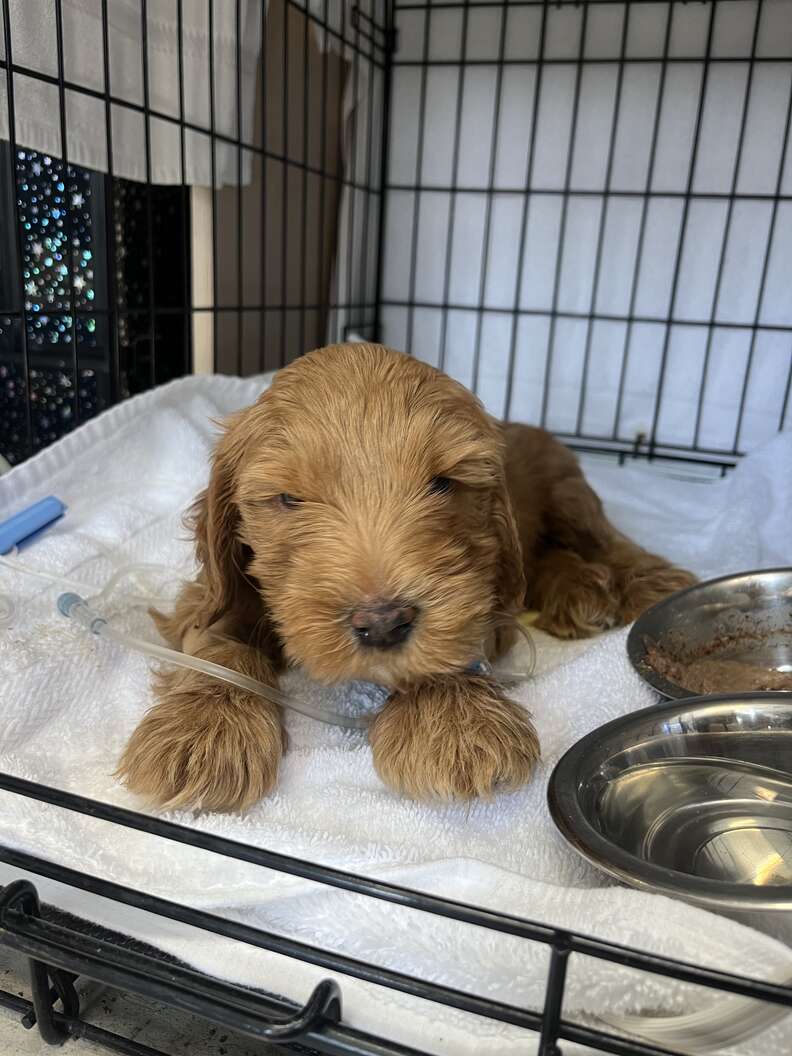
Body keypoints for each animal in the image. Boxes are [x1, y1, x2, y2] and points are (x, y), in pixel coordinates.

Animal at [117, 344, 692, 806]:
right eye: (288, 498)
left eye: (441, 484)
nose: (383, 624)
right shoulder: (217, 588)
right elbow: (216, 640)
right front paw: (203, 732)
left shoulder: (481, 591)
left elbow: (451, 640)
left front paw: (454, 720)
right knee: (549, 557)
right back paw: (577, 593)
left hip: (569, 492)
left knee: (605, 539)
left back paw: (649, 583)